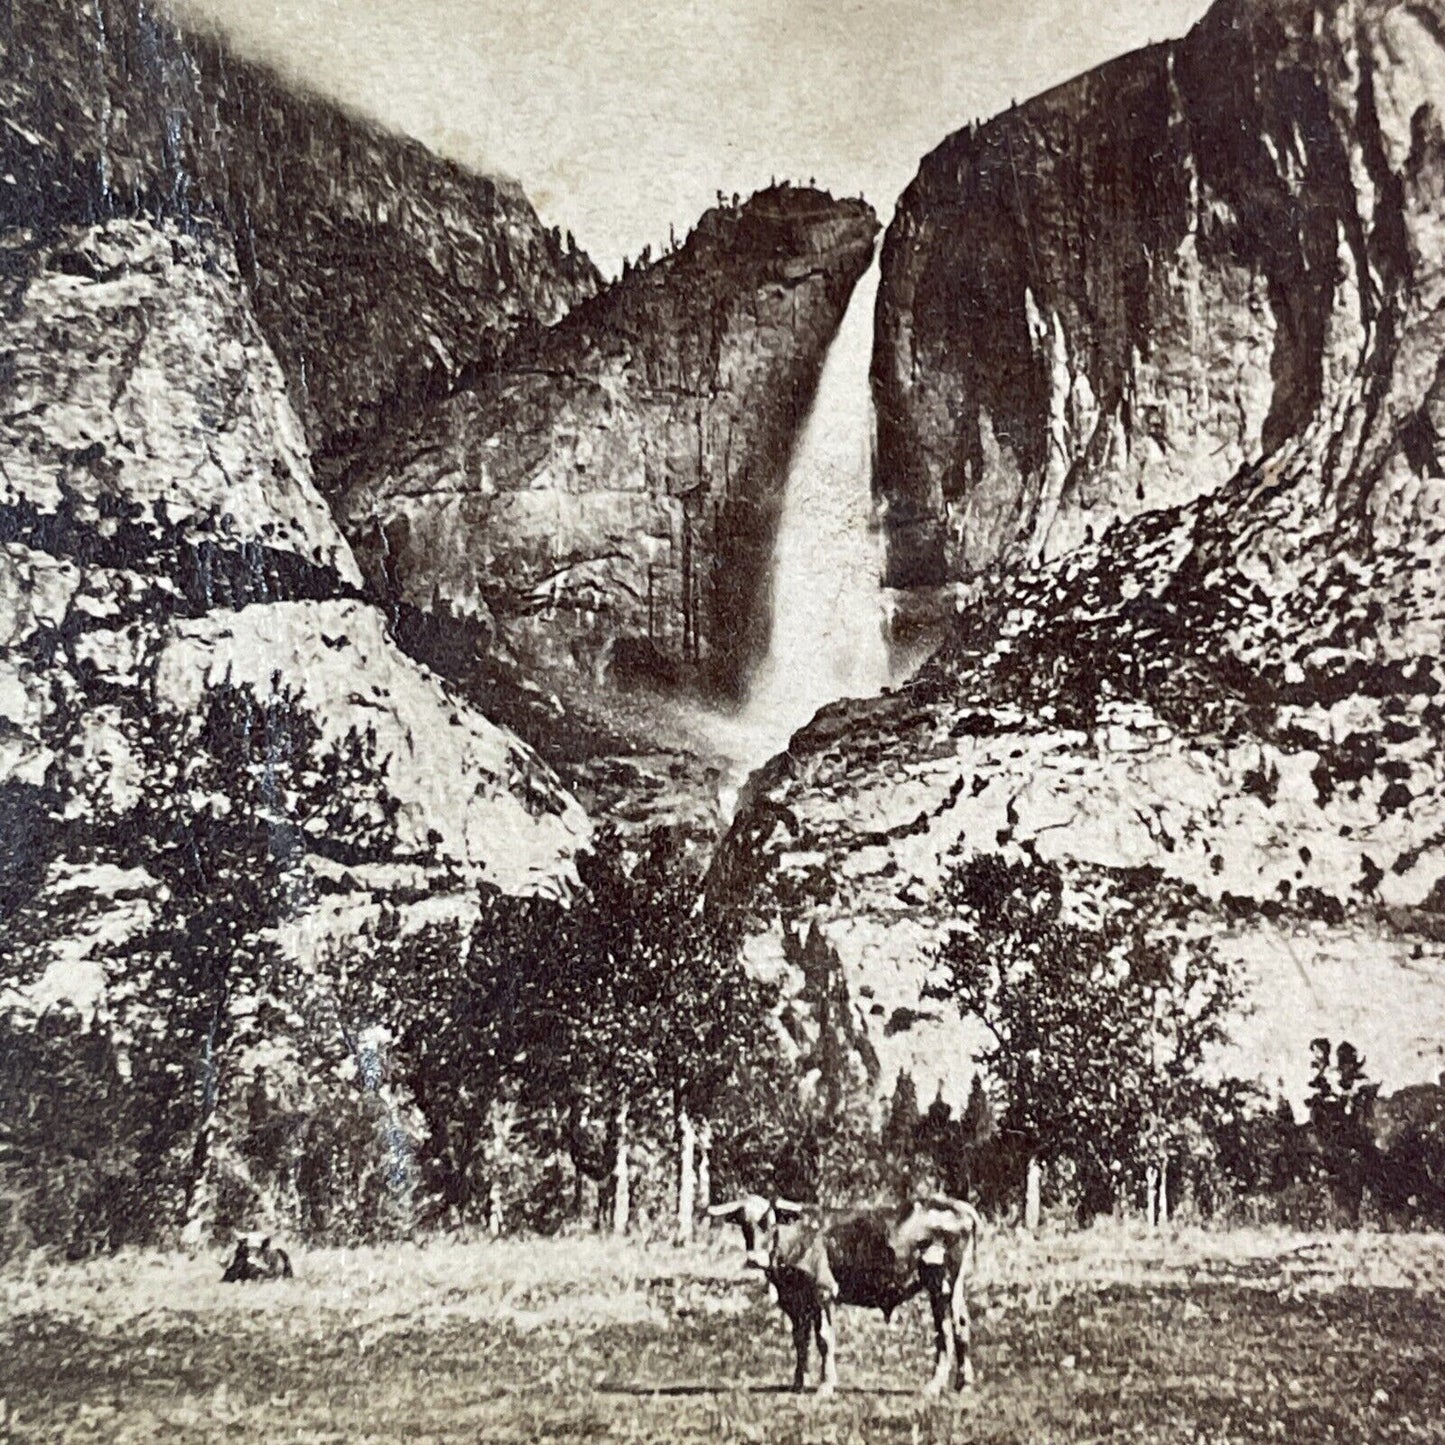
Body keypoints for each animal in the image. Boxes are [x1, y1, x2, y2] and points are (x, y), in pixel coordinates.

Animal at [710, 1190, 982, 1392]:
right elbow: (800, 1340)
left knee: (949, 1329)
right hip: (947, 1288)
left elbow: (823, 1339)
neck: (798, 1238)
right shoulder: (794, 1301)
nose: (754, 1259)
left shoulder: (823, 1292)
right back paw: (957, 1384)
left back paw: (941, 1385)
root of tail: (960, 1207)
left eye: (769, 1223)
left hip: (944, 1283)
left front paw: (825, 1385)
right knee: (957, 1326)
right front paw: (798, 1383)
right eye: (744, 1225)